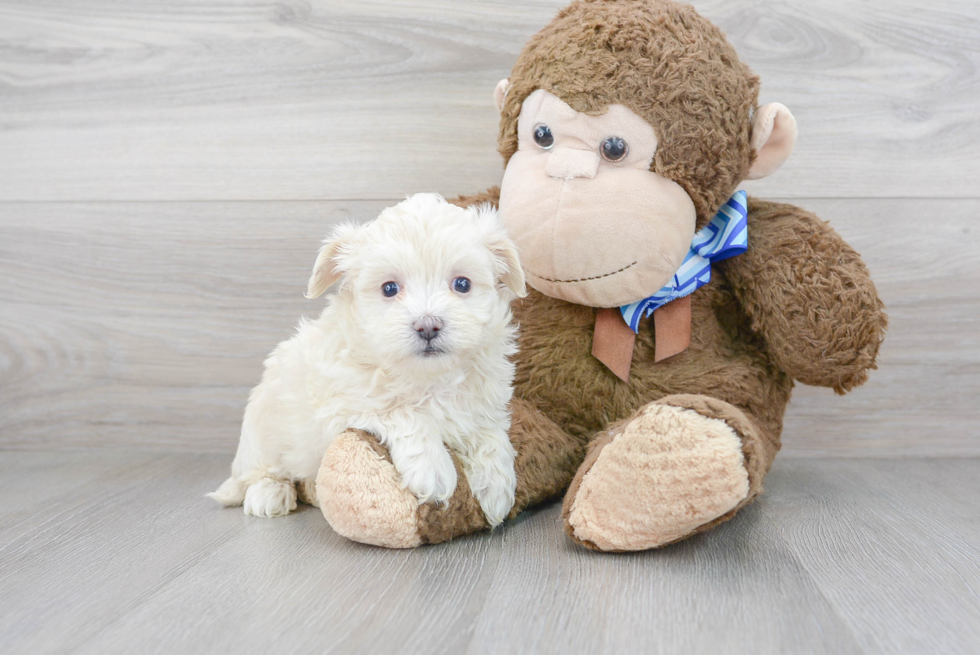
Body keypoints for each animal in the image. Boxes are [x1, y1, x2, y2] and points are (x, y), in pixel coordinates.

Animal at [209, 193, 528, 528]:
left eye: (462, 284)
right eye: (389, 288)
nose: (428, 325)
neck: (427, 377)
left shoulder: (483, 404)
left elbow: (491, 434)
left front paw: (497, 486)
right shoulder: (343, 404)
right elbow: (403, 412)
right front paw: (433, 469)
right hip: (261, 428)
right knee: (260, 472)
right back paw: (269, 492)